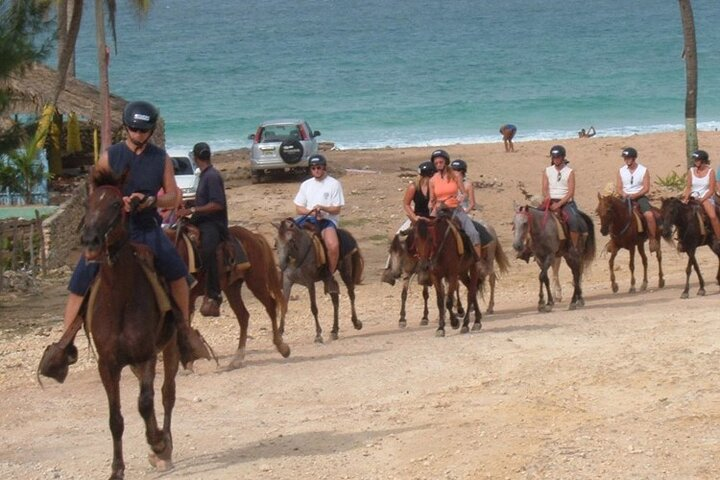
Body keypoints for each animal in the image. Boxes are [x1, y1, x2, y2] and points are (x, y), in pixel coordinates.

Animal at [78, 172, 179, 480]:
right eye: (87, 203)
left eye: (115, 204)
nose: (90, 241)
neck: (120, 299)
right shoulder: (108, 365)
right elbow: (116, 419)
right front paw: (117, 469)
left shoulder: (146, 356)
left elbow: (145, 403)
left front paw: (158, 442)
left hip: (169, 346)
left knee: (166, 393)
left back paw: (164, 447)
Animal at [167, 223, 292, 370]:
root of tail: (254, 236)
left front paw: (188, 363)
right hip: (232, 288)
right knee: (243, 316)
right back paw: (237, 358)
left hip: (256, 282)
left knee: (271, 306)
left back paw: (282, 347)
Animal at [414, 208, 480, 336]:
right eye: (416, 239)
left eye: (430, 239)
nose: (424, 265)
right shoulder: (435, 276)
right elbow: (440, 302)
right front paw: (440, 328)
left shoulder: (452, 275)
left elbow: (448, 301)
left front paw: (454, 322)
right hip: (462, 272)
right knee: (471, 290)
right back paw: (477, 320)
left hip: (473, 267)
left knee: (471, 293)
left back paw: (467, 324)